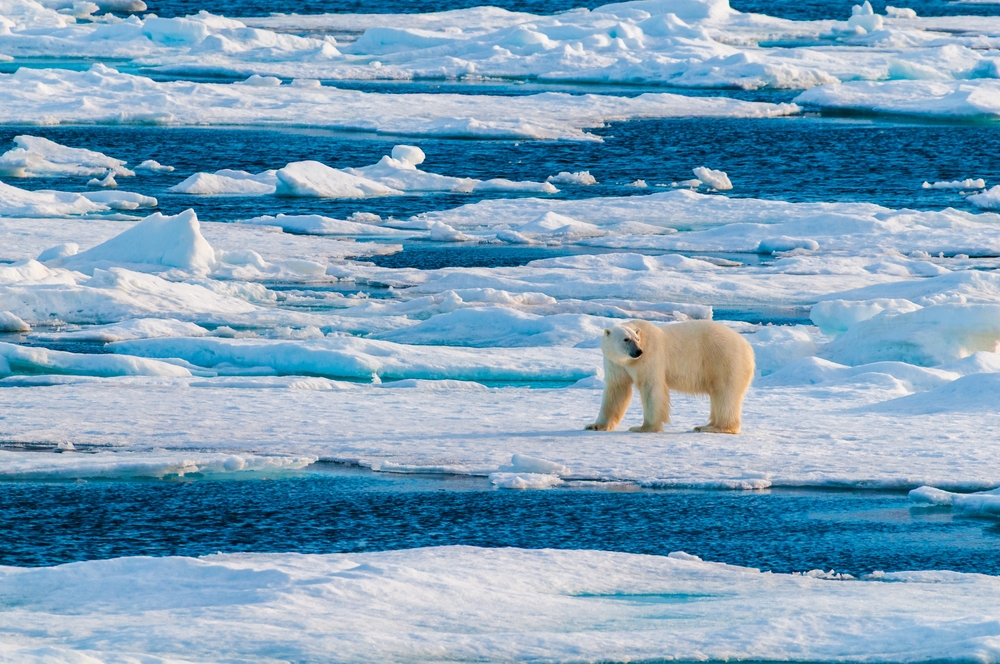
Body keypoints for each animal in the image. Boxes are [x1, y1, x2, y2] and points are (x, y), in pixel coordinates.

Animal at [585, 319, 755, 434]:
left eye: (637, 339)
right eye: (626, 339)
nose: (638, 351)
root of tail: (747, 346)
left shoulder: (650, 355)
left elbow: (651, 387)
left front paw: (643, 427)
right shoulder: (615, 363)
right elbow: (617, 389)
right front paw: (594, 425)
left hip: (724, 358)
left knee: (725, 393)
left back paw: (715, 427)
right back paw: (707, 425)